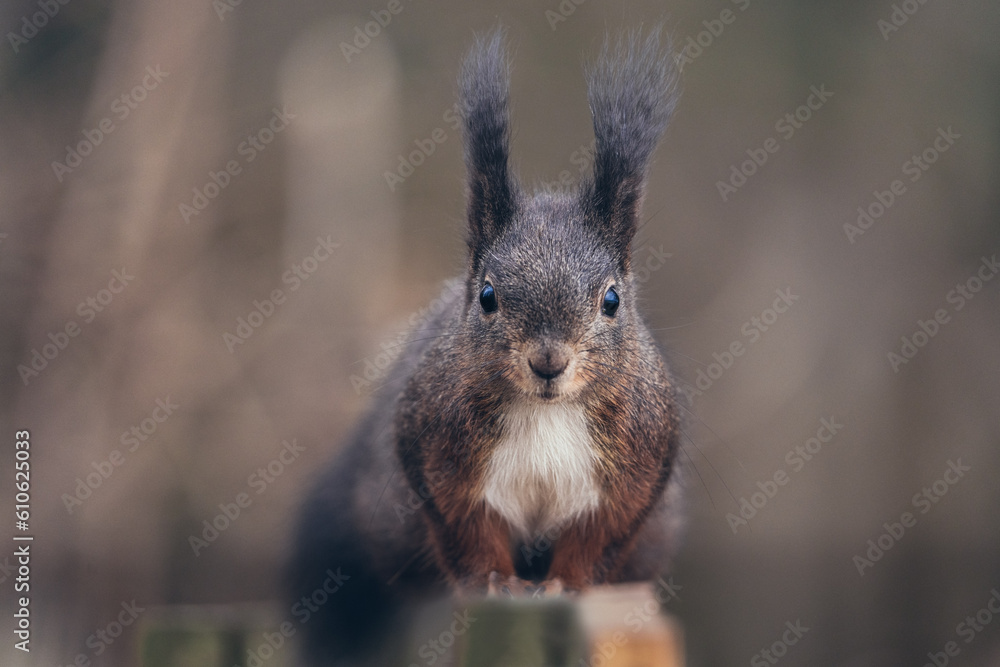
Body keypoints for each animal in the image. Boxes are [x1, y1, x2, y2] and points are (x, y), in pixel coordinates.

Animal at [289, 27, 684, 666]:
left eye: (612, 299)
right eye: (488, 295)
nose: (548, 361)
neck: (546, 412)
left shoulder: (637, 468)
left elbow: (597, 538)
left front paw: (566, 582)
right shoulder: (436, 456)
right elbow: (467, 531)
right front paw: (496, 581)